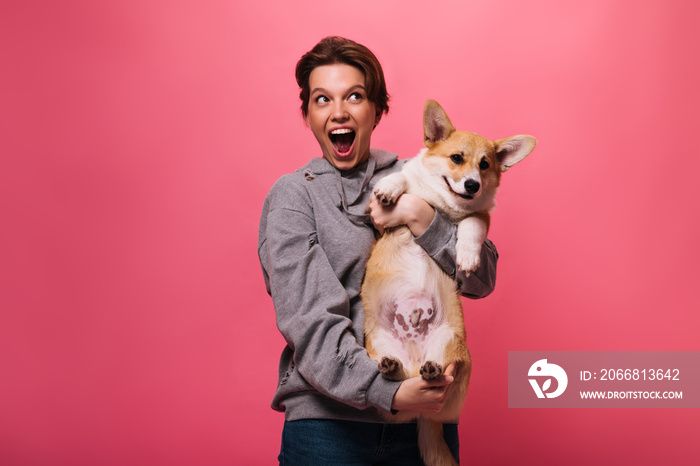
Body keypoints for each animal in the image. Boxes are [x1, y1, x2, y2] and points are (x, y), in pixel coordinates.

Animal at [360, 100, 536, 464]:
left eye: (485, 165)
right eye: (456, 158)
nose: (472, 185)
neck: (442, 205)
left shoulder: (481, 217)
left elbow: (471, 225)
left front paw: (466, 257)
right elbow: (402, 177)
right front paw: (389, 187)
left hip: (449, 343)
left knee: (431, 373)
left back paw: (429, 371)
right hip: (381, 344)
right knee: (395, 383)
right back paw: (392, 368)